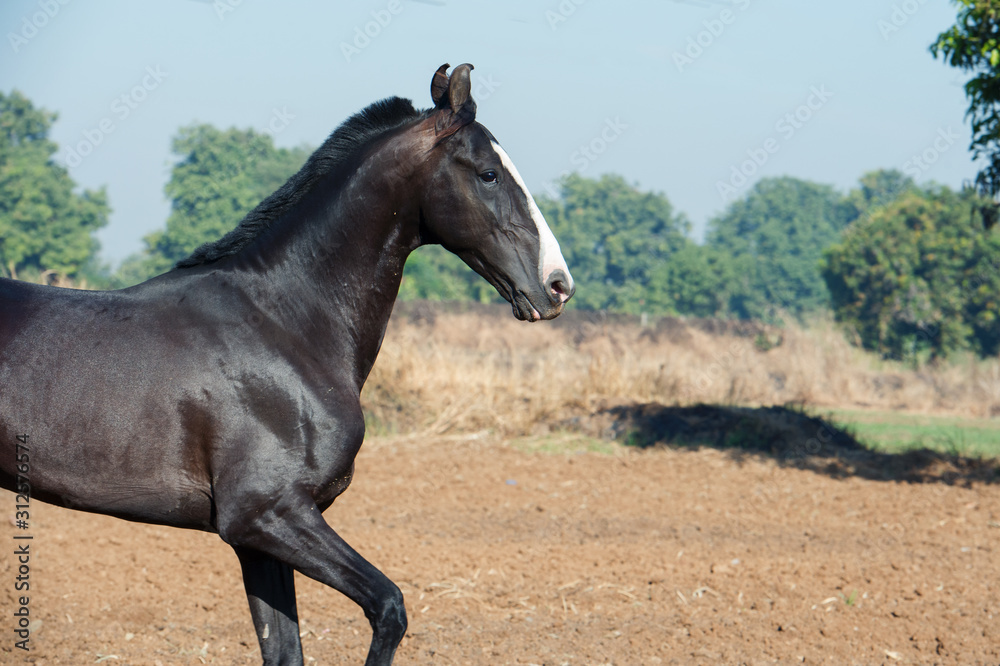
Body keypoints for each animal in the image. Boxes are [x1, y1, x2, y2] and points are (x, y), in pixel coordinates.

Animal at [0, 63, 574, 665]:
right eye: (488, 174)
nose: (558, 285)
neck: (285, 325)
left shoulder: (260, 541)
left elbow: (286, 650)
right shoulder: (266, 514)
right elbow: (389, 607)